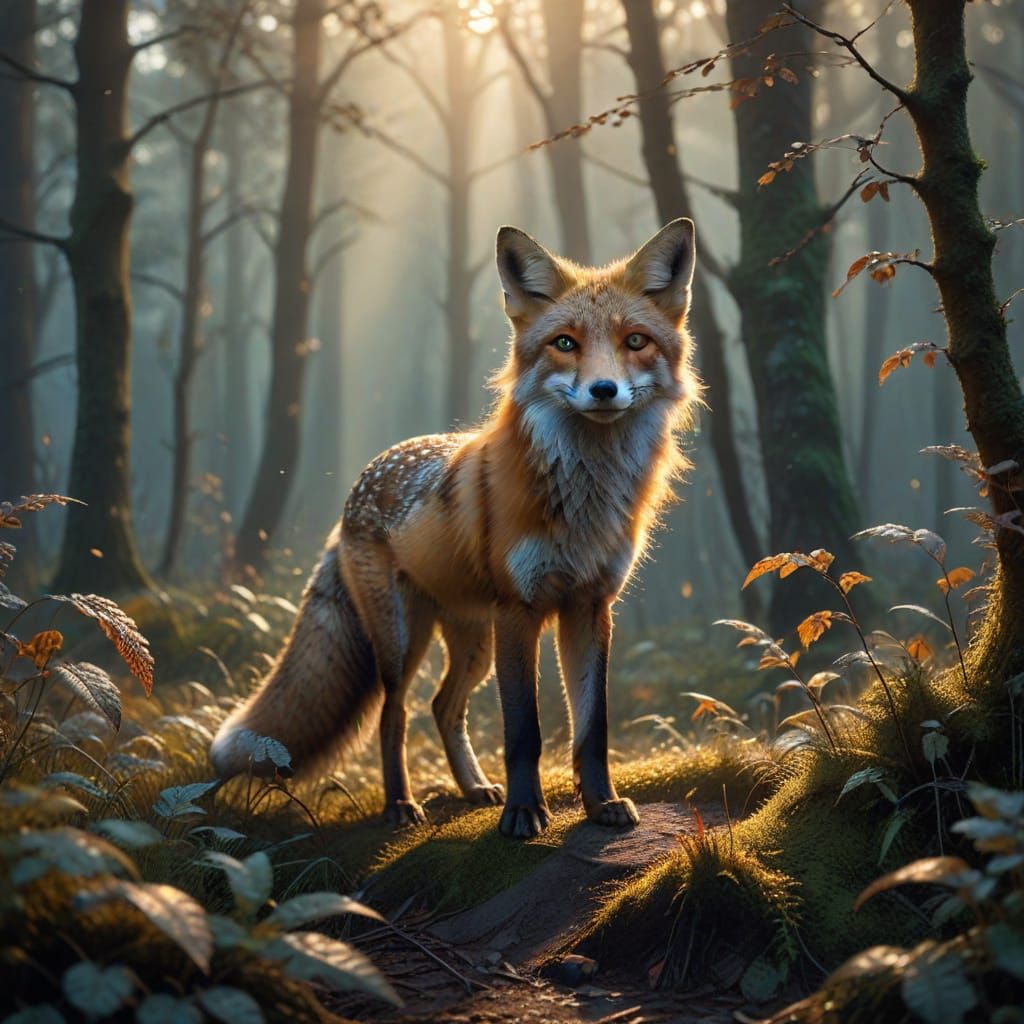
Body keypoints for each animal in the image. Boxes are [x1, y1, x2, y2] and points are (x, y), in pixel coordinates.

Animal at [210, 219, 700, 838]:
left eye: (635, 341)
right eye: (564, 343)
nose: (604, 390)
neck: (583, 499)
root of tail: (357, 489)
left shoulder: (589, 608)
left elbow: (593, 729)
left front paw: (601, 804)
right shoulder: (520, 609)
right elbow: (524, 732)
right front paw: (524, 813)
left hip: (473, 643)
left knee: (443, 707)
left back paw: (474, 789)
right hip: (402, 642)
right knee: (394, 716)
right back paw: (401, 805)